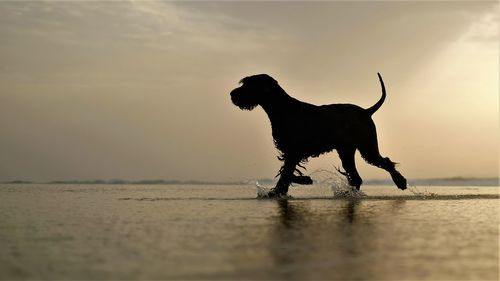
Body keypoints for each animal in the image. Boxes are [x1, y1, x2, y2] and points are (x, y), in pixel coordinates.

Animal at [230, 73, 406, 196]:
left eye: (249, 85)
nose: (232, 94)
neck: (282, 108)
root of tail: (366, 111)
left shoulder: (293, 151)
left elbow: (286, 173)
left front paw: (280, 190)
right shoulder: (291, 152)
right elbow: (286, 172)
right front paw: (291, 186)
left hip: (367, 147)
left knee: (386, 162)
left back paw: (401, 182)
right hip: (346, 152)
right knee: (356, 176)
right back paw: (348, 193)